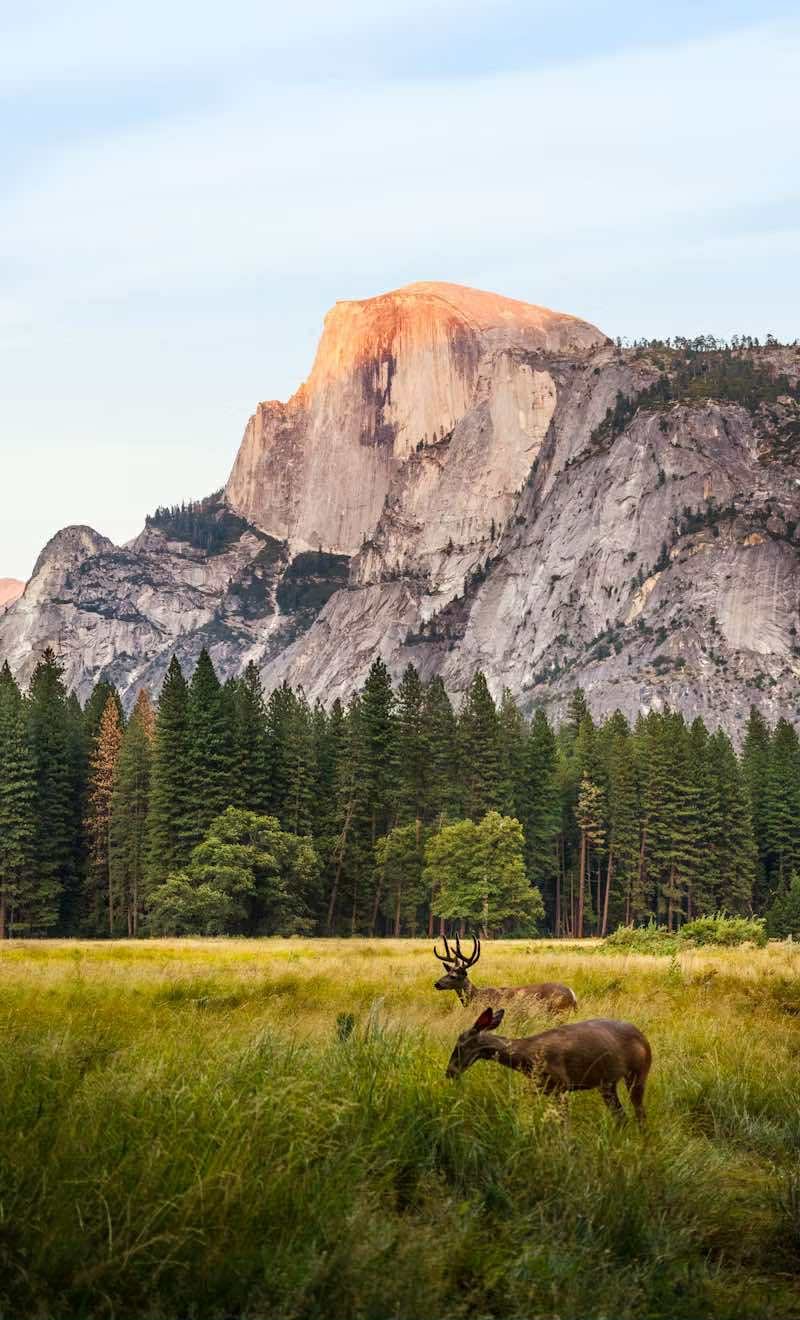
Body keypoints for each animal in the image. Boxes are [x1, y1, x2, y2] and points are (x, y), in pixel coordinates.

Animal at [433, 933, 577, 1013]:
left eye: (453, 976)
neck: (476, 997)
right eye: (447, 972)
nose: (436, 984)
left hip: (559, 1011)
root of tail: (573, 994)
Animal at [445, 1006, 651, 1125]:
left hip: (638, 1073)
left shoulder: (562, 1085)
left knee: (640, 1113)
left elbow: (564, 1126)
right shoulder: (541, 1088)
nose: (449, 1072)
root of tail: (643, 1037)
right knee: (621, 1116)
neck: (528, 1056)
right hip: (607, 1083)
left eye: (460, 1045)